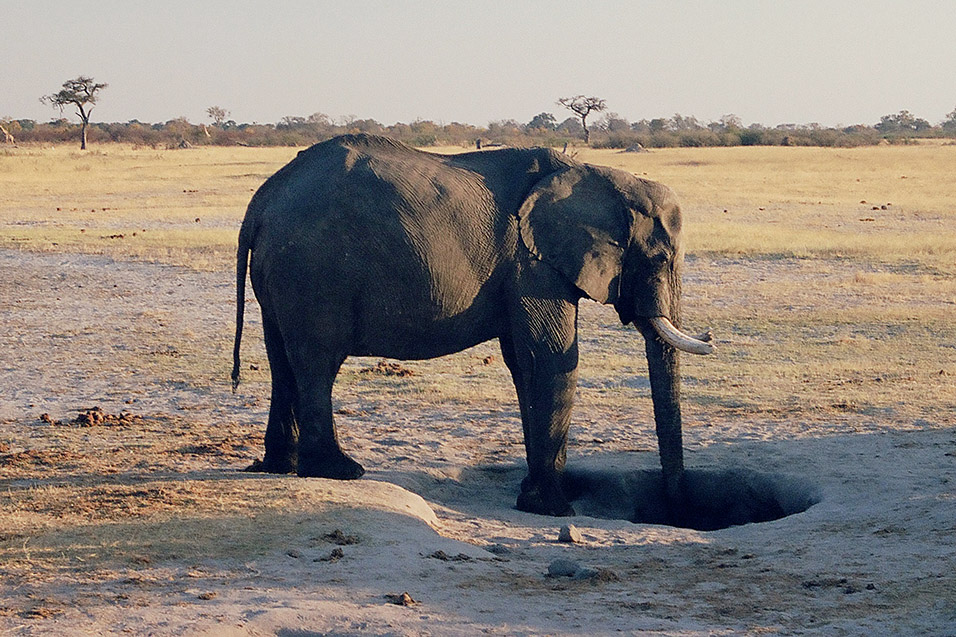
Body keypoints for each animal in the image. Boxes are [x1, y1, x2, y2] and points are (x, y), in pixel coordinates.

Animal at [230, 134, 708, 516]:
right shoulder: (533, 264)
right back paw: (339, 471)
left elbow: (523, 363)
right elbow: (550, 358)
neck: (598, 175)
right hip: (313, 271)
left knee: (282, 362)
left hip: (282, 274)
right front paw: (553, 508)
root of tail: (262, 199)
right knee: (317, 364)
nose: (675, 508)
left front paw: (532, 493)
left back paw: (282, 466)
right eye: (661, 259)